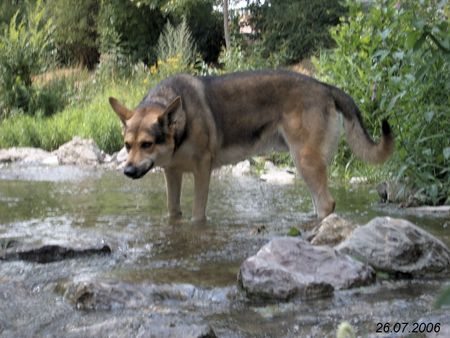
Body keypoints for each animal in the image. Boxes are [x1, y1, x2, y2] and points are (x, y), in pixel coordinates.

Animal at [110, 70, 394, 220]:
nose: (128, 171)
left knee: (326, 203)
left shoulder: (202, 171)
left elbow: (198, 214)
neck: (182, 121)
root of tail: (325, 86)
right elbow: (173, 211)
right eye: (127, 145)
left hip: (305, 160)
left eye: (147, 144)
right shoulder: (172, 173)